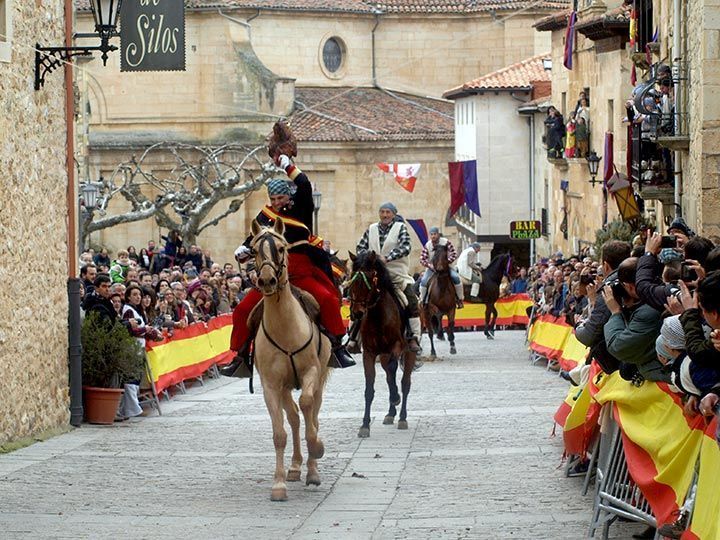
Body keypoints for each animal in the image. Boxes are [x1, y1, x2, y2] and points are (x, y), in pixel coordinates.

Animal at [250, 218, 332, 502]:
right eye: (254, 250)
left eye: (281, 248)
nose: (267, 280)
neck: (284, 327)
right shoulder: (271, 385)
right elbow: (279, 434)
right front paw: (279, 484)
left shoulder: (311, 372)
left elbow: (308, 408)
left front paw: (317, 449)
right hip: (285, 387)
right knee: (295, 417)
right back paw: (296, 467)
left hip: (319, 378)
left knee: (312, 413)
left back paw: (312, 469)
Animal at [348, 252, 416, 438]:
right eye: (351, 279)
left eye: (371, 279)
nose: (357, 313)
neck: (378, 316)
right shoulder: (369, 353)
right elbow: (369, 389)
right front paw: (365, 425)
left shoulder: (396, 347)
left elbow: (394, 371)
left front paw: (396, 398)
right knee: (389, 375)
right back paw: (391, 413)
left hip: (409, 352)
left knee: (405, 382)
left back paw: (402, 416)